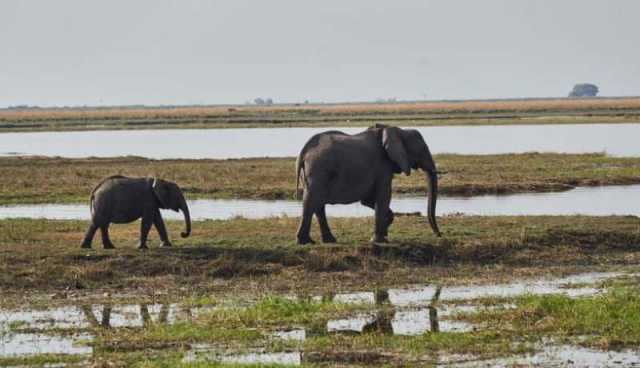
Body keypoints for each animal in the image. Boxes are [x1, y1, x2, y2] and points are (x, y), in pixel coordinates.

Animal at [296, 124, 440, 244]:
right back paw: (305, 242)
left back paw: (328, 240)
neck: (398, 130)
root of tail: (304, 151)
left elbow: (368, 200)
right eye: (423, 149)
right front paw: (379, 240)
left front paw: (383, 232)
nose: (439, 234)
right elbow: (383, 196)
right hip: (318, 170)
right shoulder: (382, 167)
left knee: (317, 204)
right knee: (312, 201)